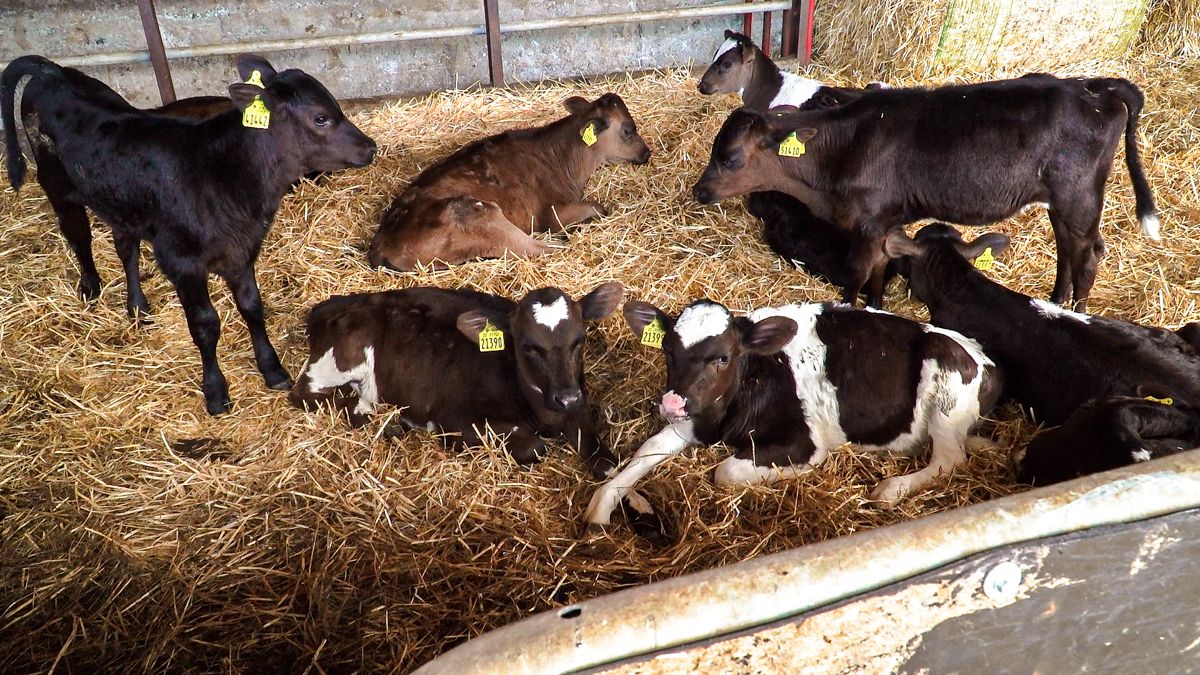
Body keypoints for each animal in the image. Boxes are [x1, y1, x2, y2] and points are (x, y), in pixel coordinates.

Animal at [2, 54, 377, 414]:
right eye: (320, 118)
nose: (370, 147)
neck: (221, 172)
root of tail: (51, 71)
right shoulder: (182, 263)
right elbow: (205, 325)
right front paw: (215, 391)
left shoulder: (241, 250)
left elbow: (252, 307)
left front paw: (272, 370)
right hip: (55, 183)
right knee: (78, 234)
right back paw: (91, 287)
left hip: (123, 204)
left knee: (125, 245)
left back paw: (137, 306)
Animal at [289, 283, 628, 479]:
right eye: (528, 346)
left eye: (579, 340)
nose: (566, 397)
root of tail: (331, 304)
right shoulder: (454, 422)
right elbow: (534, 448)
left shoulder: (578, 410)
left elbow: (609, 464)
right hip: (337, 361)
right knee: (308, 396)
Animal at [368, 93, 651, 271]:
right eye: (629, 129)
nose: (647, 153)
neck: (562, 157)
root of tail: (380, 247)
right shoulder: (551, 213)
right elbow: (600, 207)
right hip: (482, 214)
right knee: (540, 248)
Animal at [583, 297, 1002, 532]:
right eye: (669, 351)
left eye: (723, 357)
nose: (671, 403)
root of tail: (982, 357)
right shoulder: (694, 419)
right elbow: (644, 453)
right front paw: (600, 507)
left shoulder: (804, 443)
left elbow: (725, 472)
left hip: (945, 389)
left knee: (949, 459)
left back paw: (890, 489)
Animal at [692, 75, 1160, 311]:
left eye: (730, 158)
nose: (699, 190)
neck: (842, 150)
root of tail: (1095, 88)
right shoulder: (884, 223)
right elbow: (879, 269)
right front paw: (877, 305)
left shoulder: (868, 222)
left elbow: (856, 273)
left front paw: (851, 309)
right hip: (1061, 203)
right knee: (1067, 250)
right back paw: (1056, 302)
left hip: (1079, 197)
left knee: (1088, 254)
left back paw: (1077, 312)